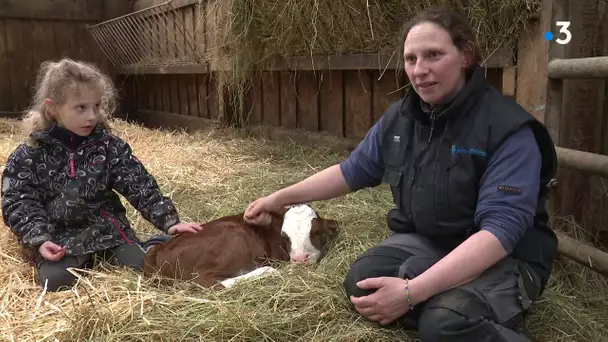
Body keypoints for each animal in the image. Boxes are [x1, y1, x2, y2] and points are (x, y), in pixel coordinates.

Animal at [144, 204, 342, 290]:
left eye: (316, 232)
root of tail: (160, 250)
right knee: (207, 280)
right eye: (284, 236)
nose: (300, 259)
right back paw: (269, 272)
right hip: (234, 238)